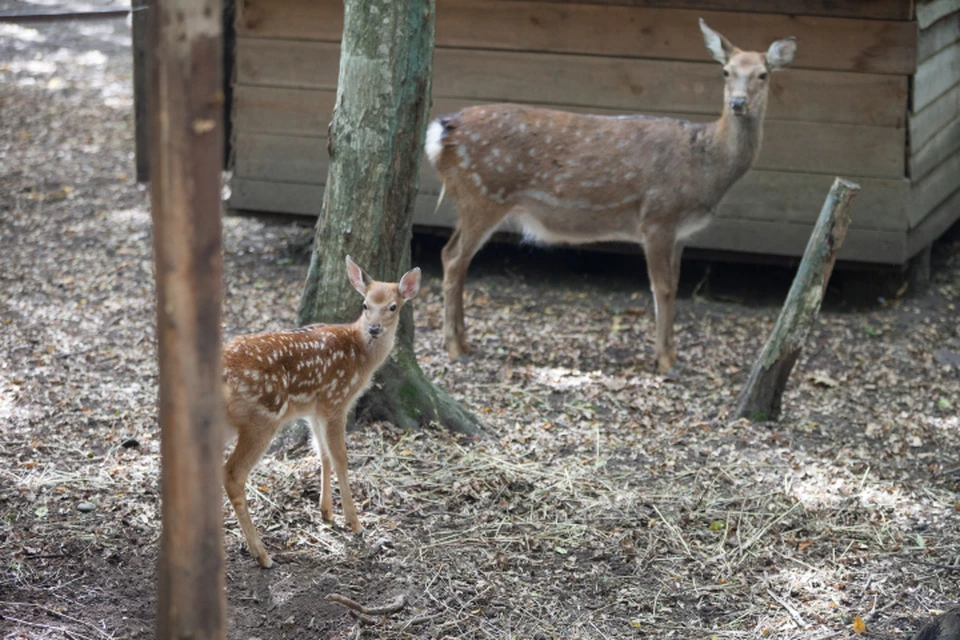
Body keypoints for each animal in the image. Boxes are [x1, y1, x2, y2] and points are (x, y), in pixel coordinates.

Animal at [227, 255, 422, 564]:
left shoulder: (314, 408)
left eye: (392, 306)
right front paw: (354, 522)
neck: (360, 355)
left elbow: (322, 453)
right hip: (261, 419)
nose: (374, 329)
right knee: (232, 474)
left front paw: (326, 511)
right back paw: (261, 554)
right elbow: (340, 456)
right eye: (365, 304)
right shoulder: (336, 399)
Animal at [426, 17, 796, 372]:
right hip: (484, 194)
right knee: (454, 258)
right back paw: (455, 347)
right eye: (726, 71)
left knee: (451, 255)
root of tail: (441, 132)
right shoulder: (657, 216)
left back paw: (463, 341)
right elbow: (661, 288)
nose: (738, 103)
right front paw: (664, 361)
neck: (705, 167)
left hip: (473, 198)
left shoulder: (680, 232)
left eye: (763, 74)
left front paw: (671, 355)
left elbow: (676, 285)